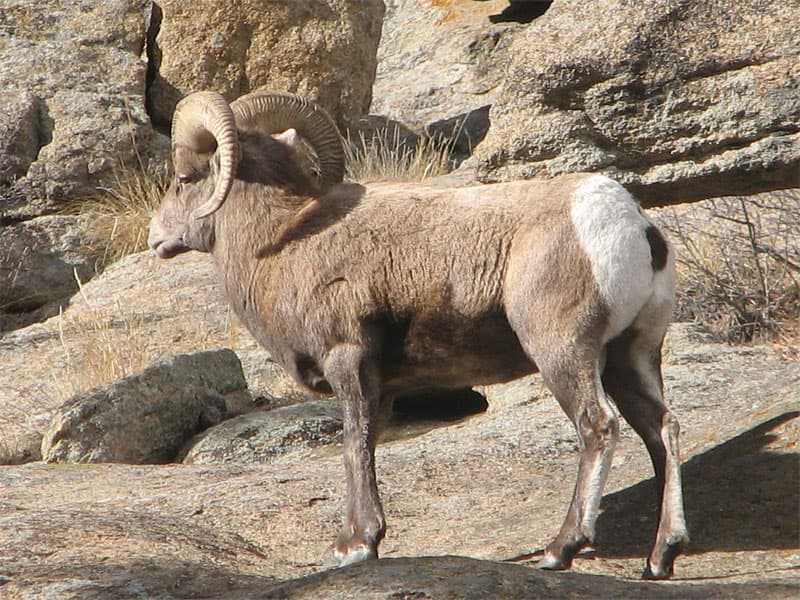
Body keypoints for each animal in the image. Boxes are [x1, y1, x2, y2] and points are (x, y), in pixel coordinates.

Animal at [148, 90, 689, 579]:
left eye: (185, 178)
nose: (156, 237)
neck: (282, 240)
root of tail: (633, 226)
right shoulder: (383, 387)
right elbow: (367, 446)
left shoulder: (348, 361)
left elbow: (354, 446)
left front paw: (355, 546)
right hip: (631, 356)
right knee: (662, 429)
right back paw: (662, 556)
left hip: (563, 352)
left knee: (598, 426)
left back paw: (562, 550)